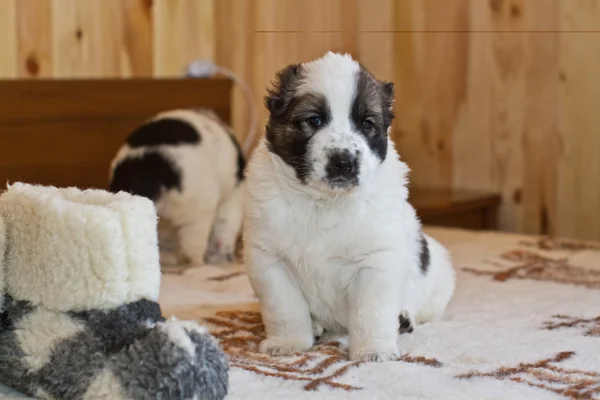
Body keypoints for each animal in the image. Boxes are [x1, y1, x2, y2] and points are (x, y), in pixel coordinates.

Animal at [243, 52, 454, 362]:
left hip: (438, 274)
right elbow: (285, 308)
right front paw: (289, 342)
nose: (343, 162)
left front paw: (373, 351)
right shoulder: (269, 260)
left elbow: (371, 312)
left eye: (367, 124)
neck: (325, 203)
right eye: (314, 120)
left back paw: (404, 319)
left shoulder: (376, 261)